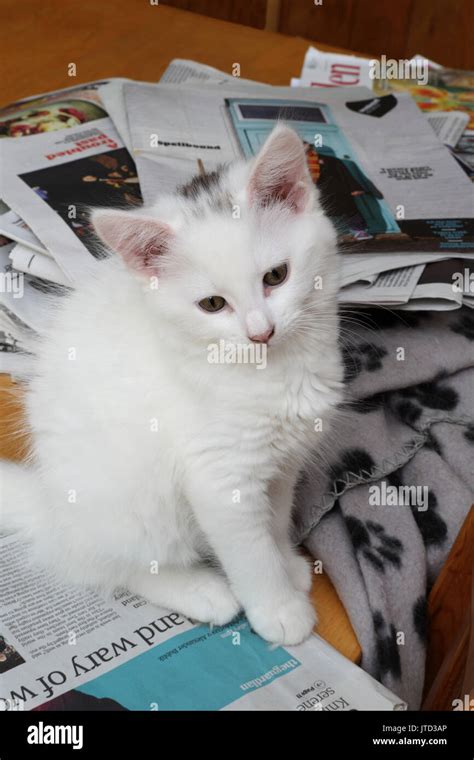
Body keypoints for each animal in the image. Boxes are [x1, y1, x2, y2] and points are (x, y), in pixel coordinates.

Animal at [0, 123, 342, 640]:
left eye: (277, 276)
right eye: (212, 305)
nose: (260, 332)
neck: (273, 372)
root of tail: (52, 507)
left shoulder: (284, 462)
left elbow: (276, 519)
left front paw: (287, 564)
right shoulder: (219, 478)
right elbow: (251, 554)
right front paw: (279, 609)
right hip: (131, 500)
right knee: (108, 566)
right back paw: (201, 591)